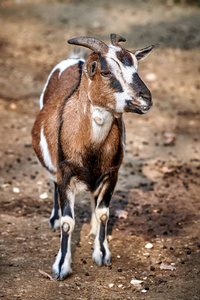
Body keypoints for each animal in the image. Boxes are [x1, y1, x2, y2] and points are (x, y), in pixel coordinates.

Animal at [31, 34, 154, 280]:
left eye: (136, 67)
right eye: (106, 72)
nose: (145, 99)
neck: (90, 145)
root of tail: (73, 61)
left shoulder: (111, 173)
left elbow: (104, 212)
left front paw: (102, 253)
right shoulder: (66, 172)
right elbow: (68, 222)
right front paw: (61, 266)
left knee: (93, 196)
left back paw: (94, 229)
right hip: (53, 166)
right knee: (52, 182)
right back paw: (54, 219)